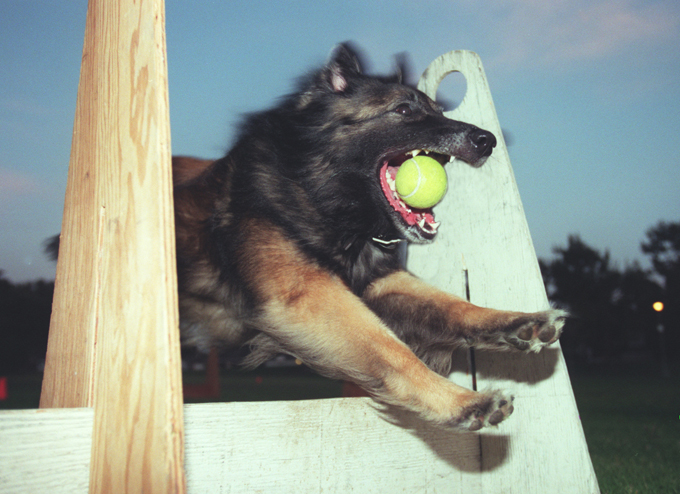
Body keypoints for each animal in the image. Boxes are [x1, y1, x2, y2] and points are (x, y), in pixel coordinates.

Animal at [173, 43, 564, 432]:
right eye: (403, 109)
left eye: (439, 111)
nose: (488, 141)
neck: (317, 193)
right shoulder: (306, 295)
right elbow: (391, 349)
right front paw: (461, 402)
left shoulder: (380, 282)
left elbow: (454, 305)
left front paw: (516, 322)